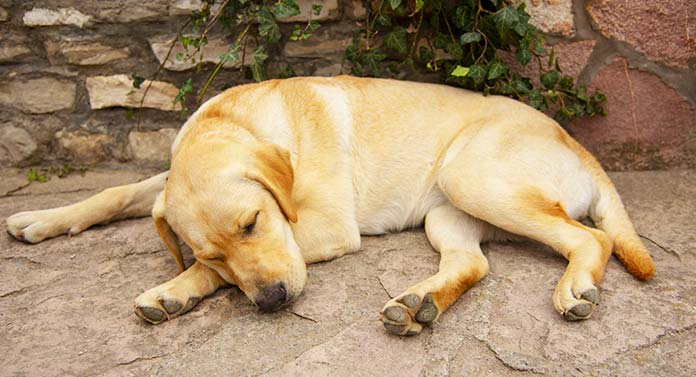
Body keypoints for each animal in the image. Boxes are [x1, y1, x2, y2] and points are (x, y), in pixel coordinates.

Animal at [8, 76, 656, 334]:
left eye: (253, 223)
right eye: (211, 250)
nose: (272, 302)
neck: (240, 122)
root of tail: (577, 142)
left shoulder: (326, 228)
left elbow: (241, 270)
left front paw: (175, 289)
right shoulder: (165, 183)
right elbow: (117, 193)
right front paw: (42, 218)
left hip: (472, 176)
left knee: (592, 237)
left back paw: (576, 288)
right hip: (447, 211)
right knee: (473, 265)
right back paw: (419, 304)